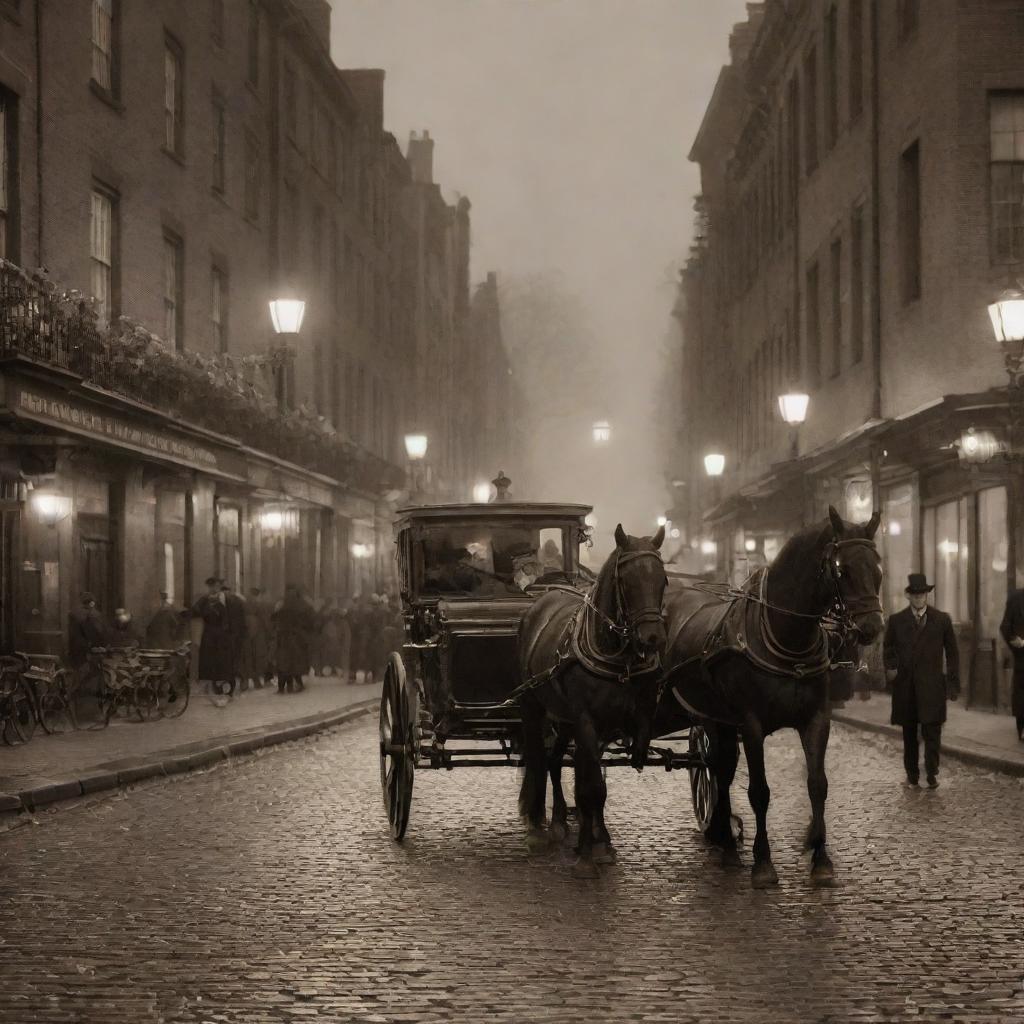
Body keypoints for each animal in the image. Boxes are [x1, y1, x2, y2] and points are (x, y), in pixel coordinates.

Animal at [516, 528, 667, 872]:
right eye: (627, 581)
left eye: (663, 580)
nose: (653, 638)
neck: (616, 658)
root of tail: (544, 597)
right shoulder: (586, 721)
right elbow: (591, 785)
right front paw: (586, 855)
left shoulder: (609, 724)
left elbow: (593, 783)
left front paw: (599, 840)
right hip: (533, 707)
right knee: (537, 759)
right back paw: (537, 828)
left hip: (563, 718)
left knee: (554, 761)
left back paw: (560, 821)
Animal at [659, 507, 884, 884]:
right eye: (842, 570)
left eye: (878, 568)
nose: (871, 628)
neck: (789, 636)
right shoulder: (751, 725)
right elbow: (759, 792)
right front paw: (763, 863)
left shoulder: (817, 719)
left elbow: (817, 784)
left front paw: (821, 858)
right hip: (710, 717)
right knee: (720, 772)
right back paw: (727, 842)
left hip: (720, 722)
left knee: (719, 769)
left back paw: (724, 837)